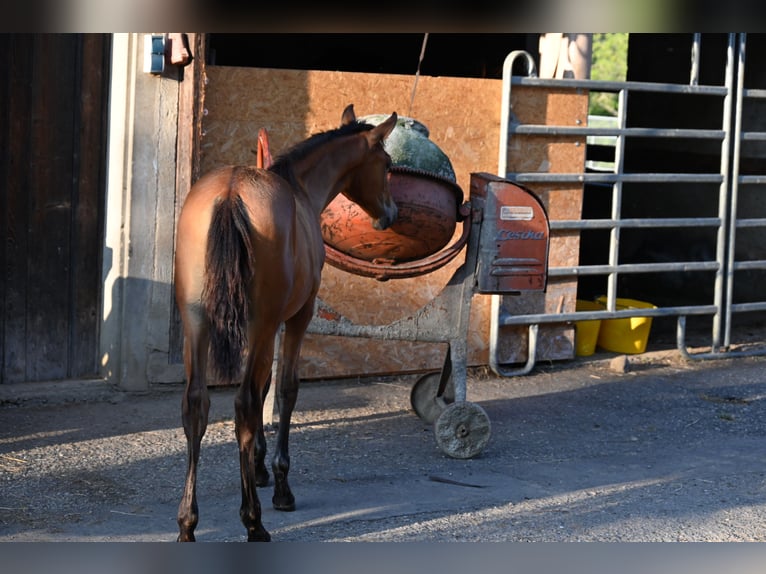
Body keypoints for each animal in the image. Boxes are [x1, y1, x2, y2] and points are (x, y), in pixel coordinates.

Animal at [173, 105, 398, 542]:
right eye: (387, 163)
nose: (390, 213)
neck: (300, 189)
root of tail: (230, 194)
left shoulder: (264, 326)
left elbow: (264, 391)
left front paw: (258, 468)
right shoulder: (296, 317)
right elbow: (283, 390)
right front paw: (279, 484)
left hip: (197, 322)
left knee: (197, 405)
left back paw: (187, 524)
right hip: (260, 323)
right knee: (242, 402)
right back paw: (253, 521)